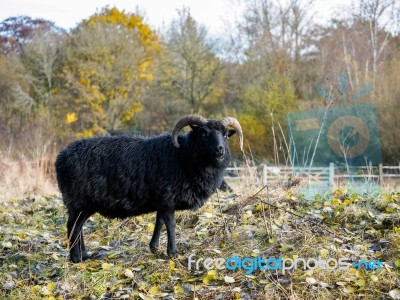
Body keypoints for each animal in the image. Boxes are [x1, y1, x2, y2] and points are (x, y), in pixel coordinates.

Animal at [54, 115, 242, 262]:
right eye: (203, 133)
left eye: (226, 135)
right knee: (73, 226)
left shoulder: (162, 200)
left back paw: (85, 254)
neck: (183, 156)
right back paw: (76, 258)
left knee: (78, 226)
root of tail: (60, 158)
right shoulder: (168, 198)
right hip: (79, 200)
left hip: (84, 204)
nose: (220, 150)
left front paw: (154, 248)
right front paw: (173, 252)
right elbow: (171, 224)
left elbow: (159, 222)